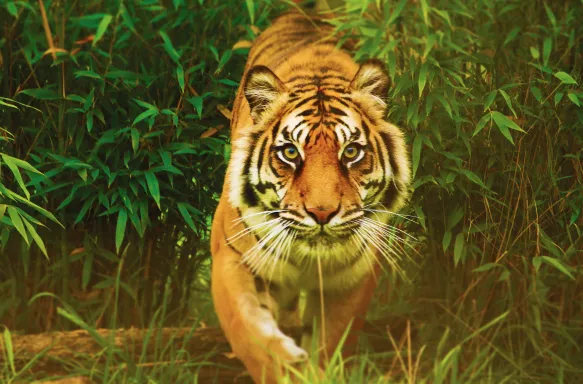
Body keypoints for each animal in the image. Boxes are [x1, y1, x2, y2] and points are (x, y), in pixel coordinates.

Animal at [210, 10, 410, 382]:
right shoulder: (233, 255)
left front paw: (317, 370)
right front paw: (283, 364)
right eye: (290, 152)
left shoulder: (353, 276)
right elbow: (245, 326)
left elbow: (332, 340)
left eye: (351, 152)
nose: (321, 212)